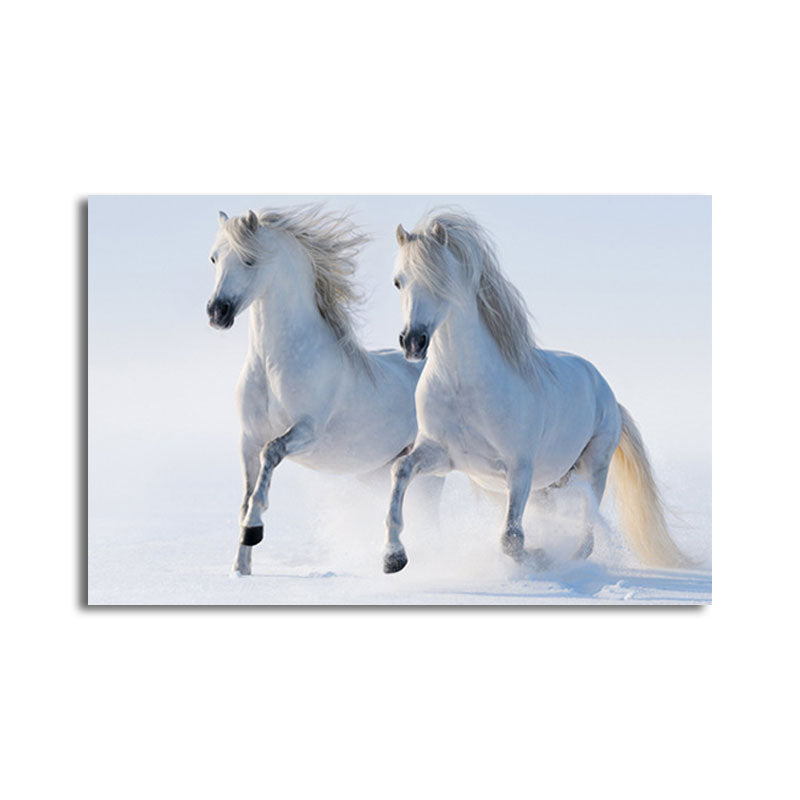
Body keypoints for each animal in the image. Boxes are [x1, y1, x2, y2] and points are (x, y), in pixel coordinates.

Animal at [206, 205, 440, 576]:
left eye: (249, 260)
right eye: (214, 258)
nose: (217, 312)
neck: (274, 365)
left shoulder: (307, 432)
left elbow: (271, 455)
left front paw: (254, 530)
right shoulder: (248, 438)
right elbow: (245, 496)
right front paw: (241, 568)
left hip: (429, 471)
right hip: (377, 472)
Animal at [382, 209, 689, 574]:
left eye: (440, 279)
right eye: (398, 281)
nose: (412, 342)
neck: (464, 387)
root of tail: (606, 391)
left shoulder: (520, 469)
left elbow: (511, 539)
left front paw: (540, 558)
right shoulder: (443, 456)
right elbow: (401, 470)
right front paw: (393, 557)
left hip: (593, 467)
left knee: (586, 524)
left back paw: (572, 559)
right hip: (545, 485)